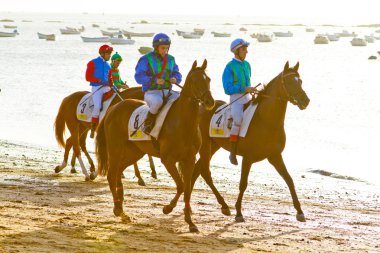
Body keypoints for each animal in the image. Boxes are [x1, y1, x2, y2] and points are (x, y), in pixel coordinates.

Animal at [95, 59, 215, 233]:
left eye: (208, 79)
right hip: (116, 148)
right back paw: (118, 209)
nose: (210, 102)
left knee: (118, 172)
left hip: (134, 152)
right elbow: (181, 186)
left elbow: (187, 188)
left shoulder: (189, 159)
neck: (183, 122)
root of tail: (114, 108)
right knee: (112, 174)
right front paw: (167, 208)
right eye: (194, 80)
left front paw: (190, 222)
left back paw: (121, 209)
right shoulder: (168, 160)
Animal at [191, 62, 310, 222]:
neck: (267, 121)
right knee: (203, 171)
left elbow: (289, 179)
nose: (305, 100)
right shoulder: (247, 158)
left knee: (198, 170)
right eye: (290, 82)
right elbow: (243, 184)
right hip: (205, 145)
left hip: (214, 145)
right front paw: (238, 212)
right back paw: (223, 205)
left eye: (300, 81)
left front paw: (299, 211)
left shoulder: (275, 156)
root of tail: (202, 106)